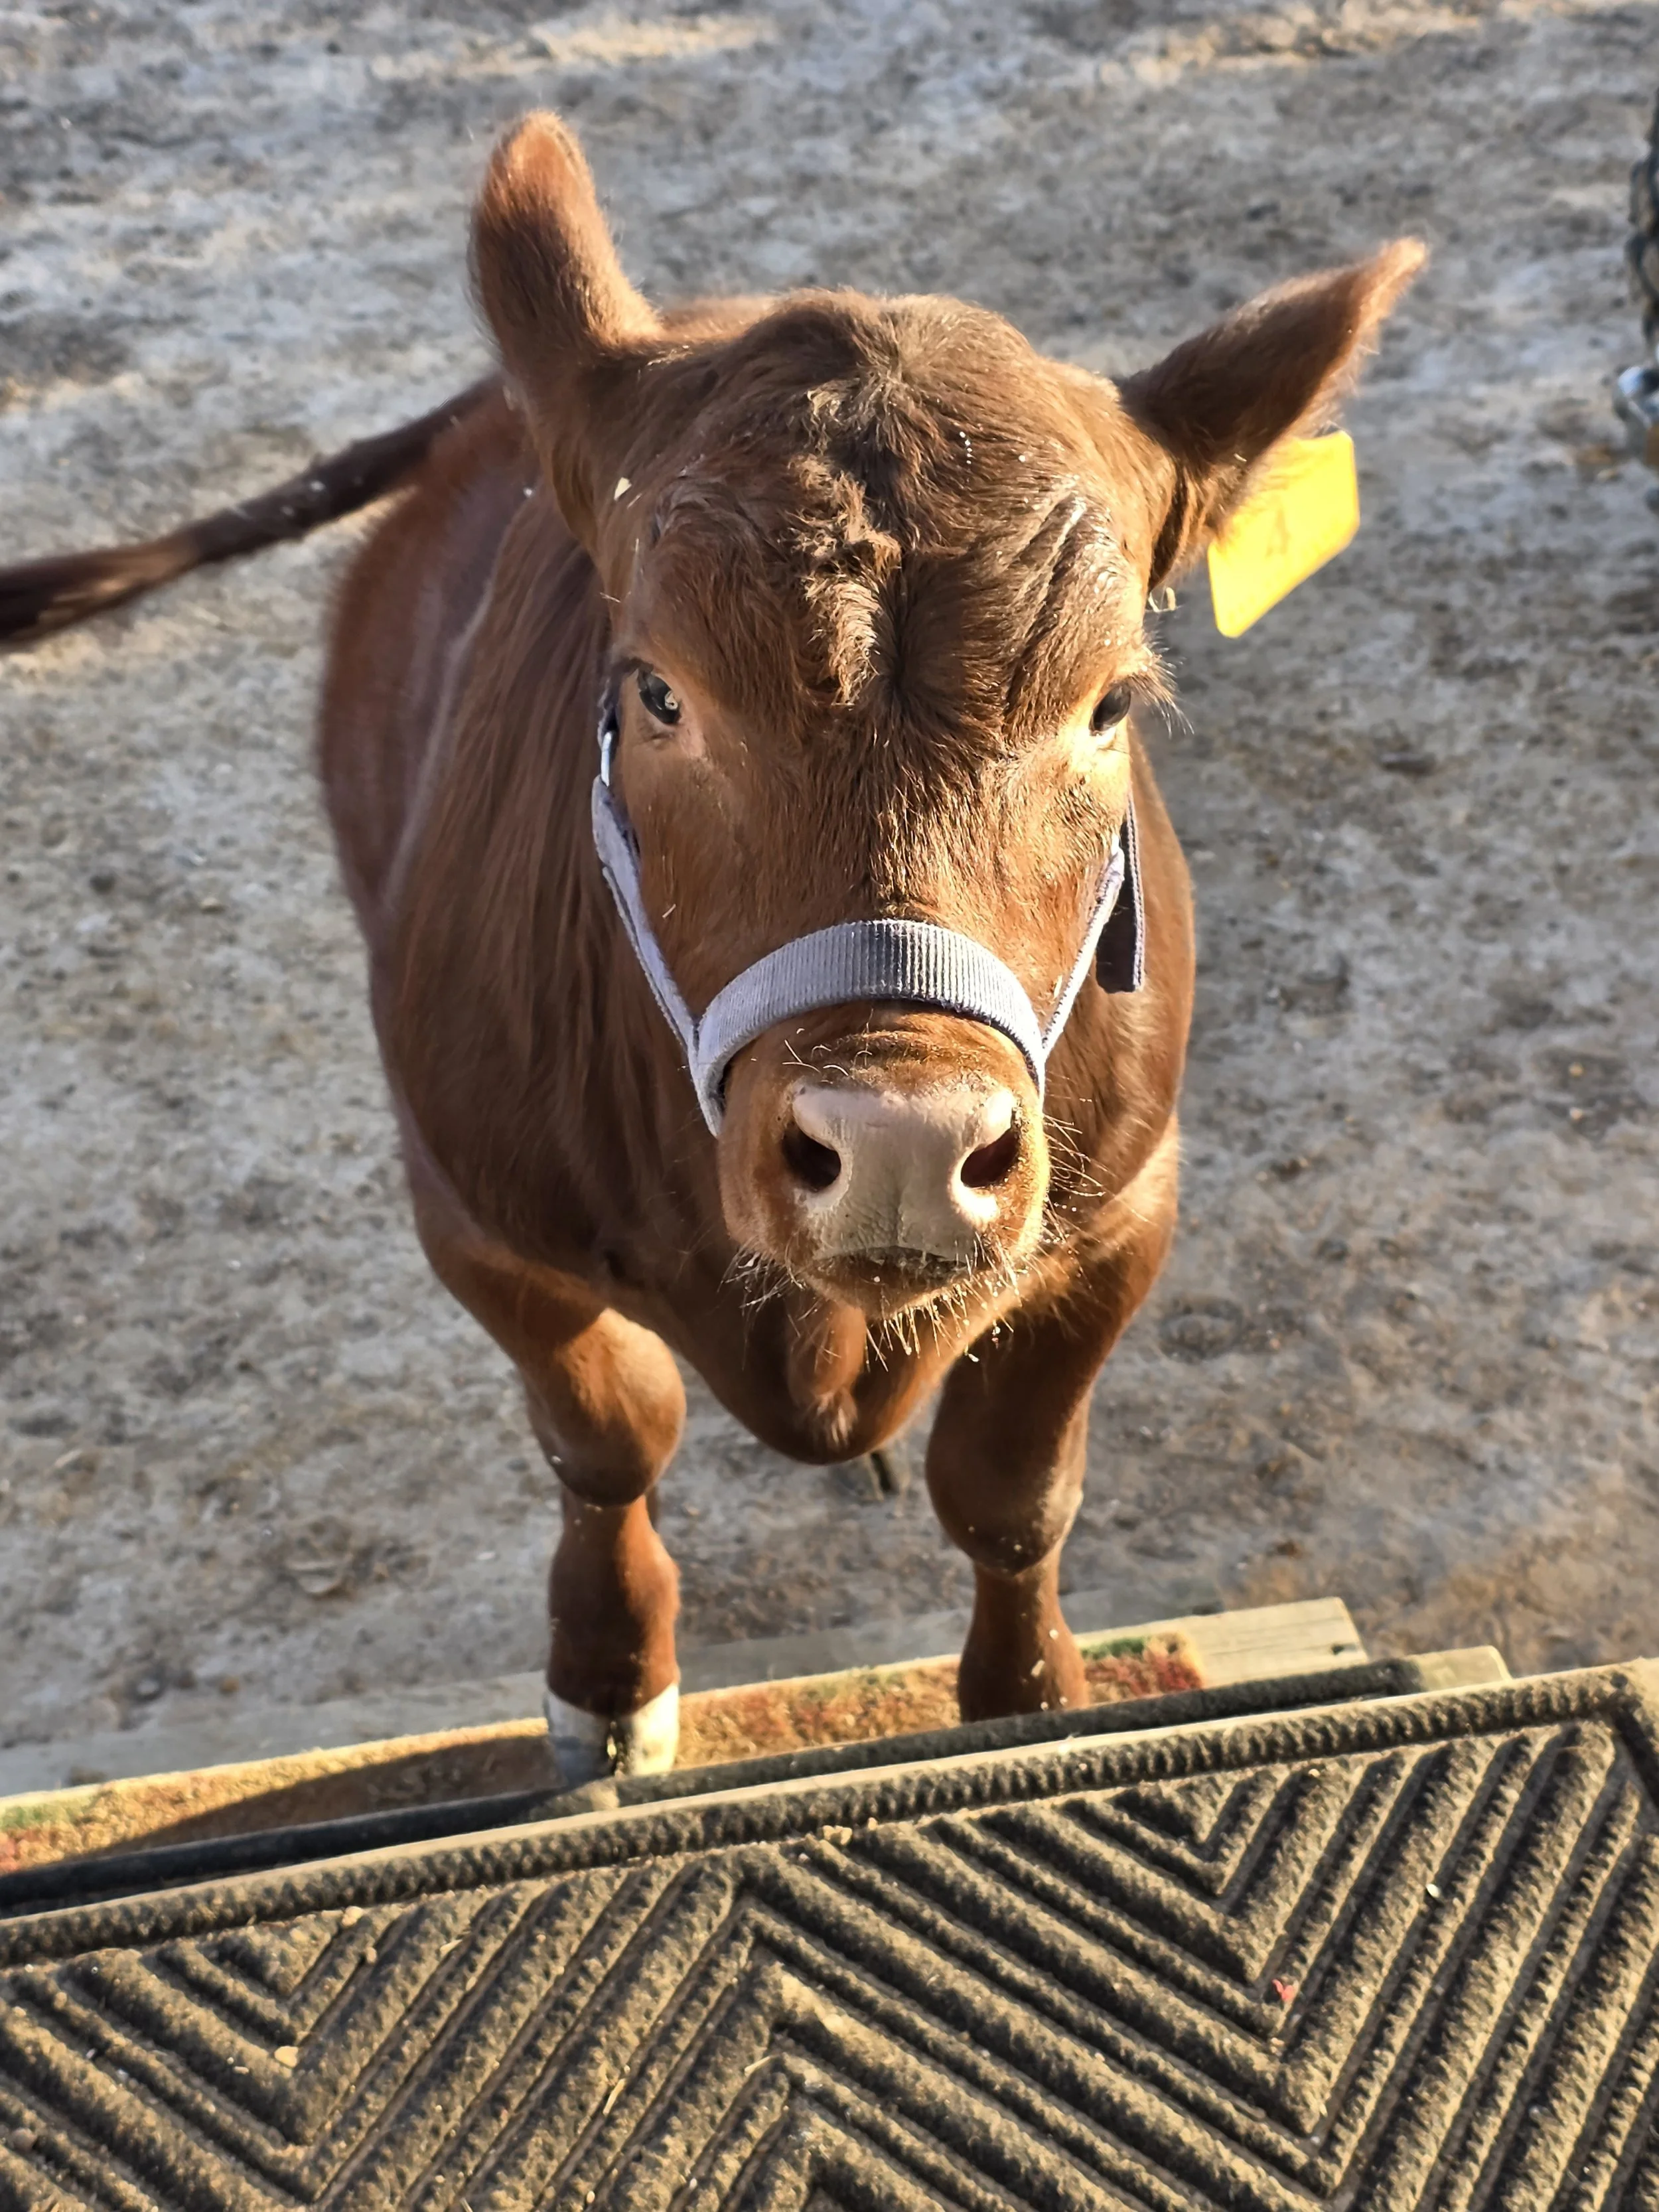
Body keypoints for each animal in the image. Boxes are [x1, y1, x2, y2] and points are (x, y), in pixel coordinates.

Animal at [0, 115, 1422, 1783]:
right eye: (657, 690)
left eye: (1111, 704)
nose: (897, 1143)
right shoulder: (471, 1207)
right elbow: (606, 1432)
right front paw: (609, 1677)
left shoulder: (1123, 1206)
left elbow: (1014, 1492)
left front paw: (1026, 1694)